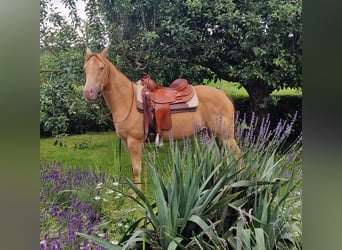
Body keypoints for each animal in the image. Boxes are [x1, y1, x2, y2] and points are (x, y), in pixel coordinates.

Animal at [82, 46, 240, 189]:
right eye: (85, 68)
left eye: (101, 67)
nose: (88, 92)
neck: (127, 100)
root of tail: (223, 94)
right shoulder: (127, 143)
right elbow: (134, 170)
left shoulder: (134, 142)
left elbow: (136, 170)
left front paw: (137, 198)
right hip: (211, 134)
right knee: (218, 158)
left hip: (226, 136)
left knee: (236, 155)